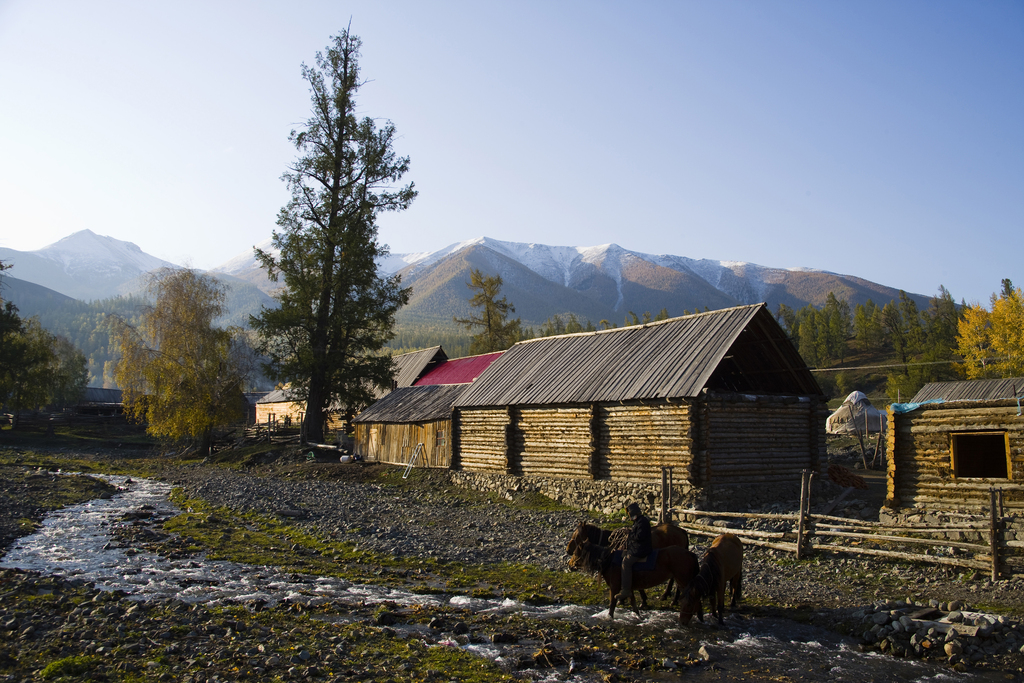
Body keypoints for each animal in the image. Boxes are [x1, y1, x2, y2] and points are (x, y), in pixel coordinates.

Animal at [565, 532, 700, 622]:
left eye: (576, 552)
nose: (569, 565)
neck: (608, 560)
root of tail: (690, 554)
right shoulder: (628, 589)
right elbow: (634, 605)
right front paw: (640, 617)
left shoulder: (614, 587)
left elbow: (612, 605)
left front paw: (610, 617)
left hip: (682, 580)